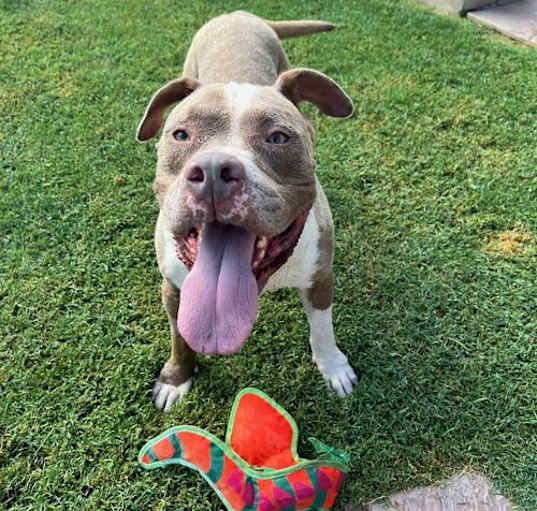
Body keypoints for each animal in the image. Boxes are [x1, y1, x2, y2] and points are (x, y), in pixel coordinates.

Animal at [136, 11, 358, 412]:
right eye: (180, 134)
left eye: (278, 137)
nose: (212, 171)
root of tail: (240, 14)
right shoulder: (174, 288)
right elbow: (179, 337)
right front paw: (176, 378)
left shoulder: (320, 278)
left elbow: (323, 328)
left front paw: (333, 367)